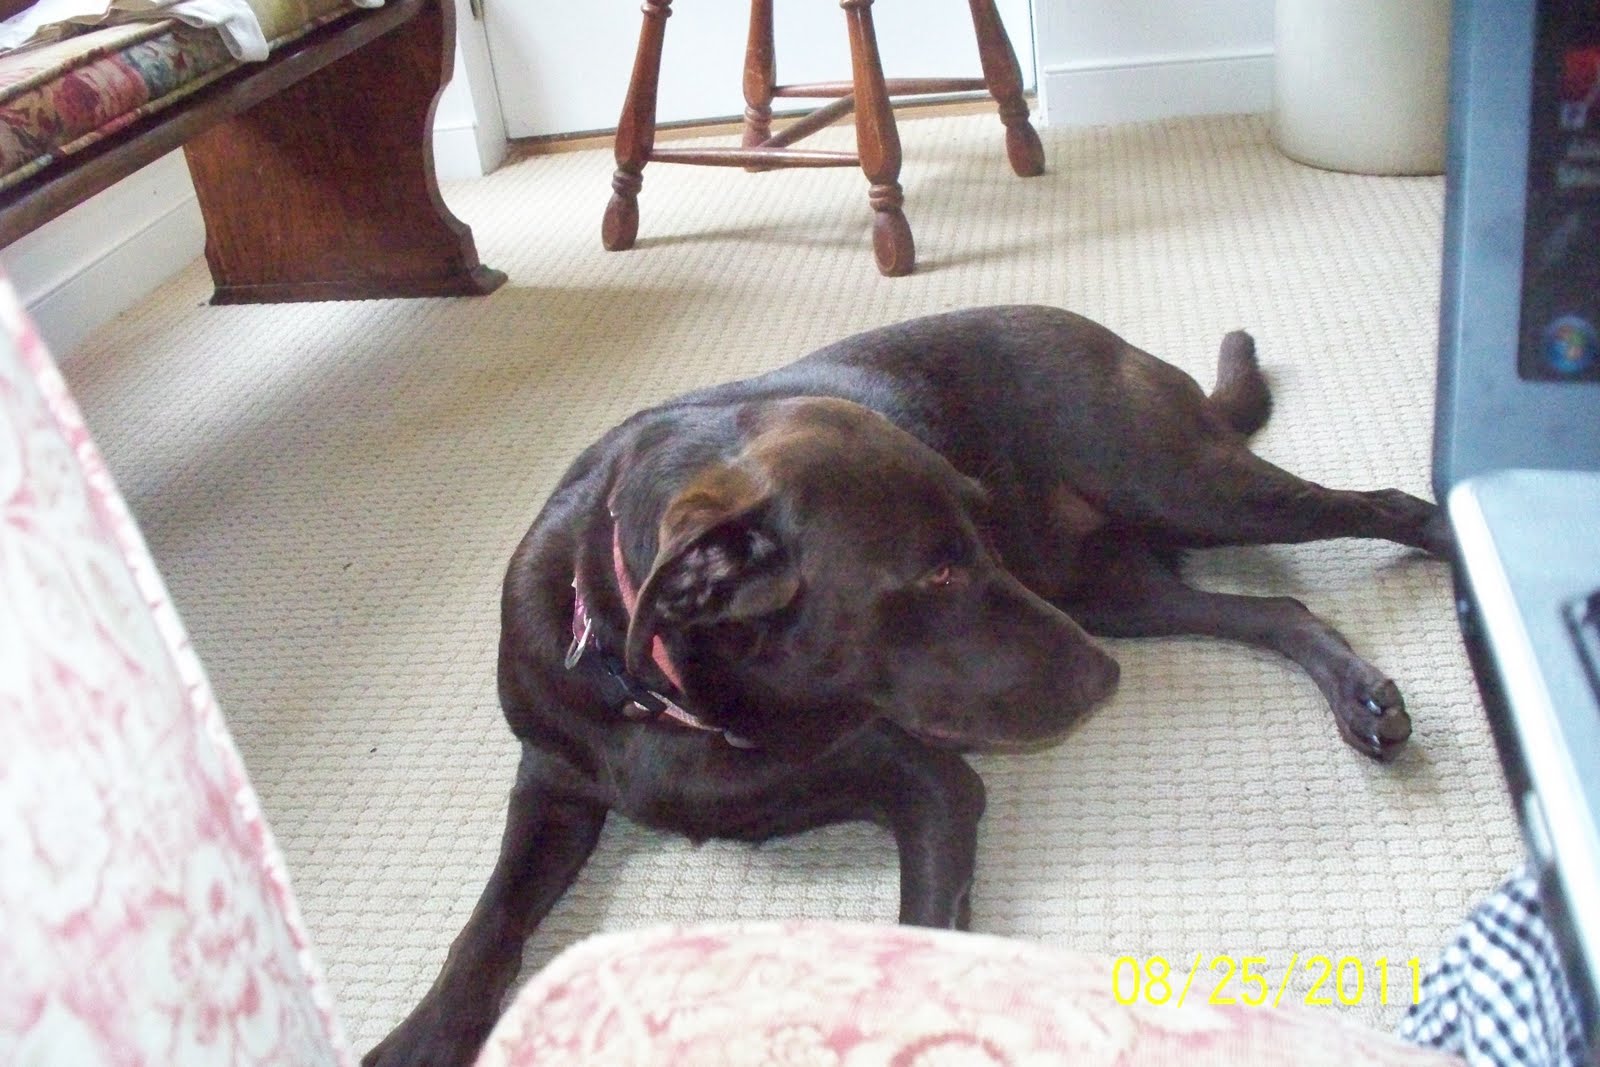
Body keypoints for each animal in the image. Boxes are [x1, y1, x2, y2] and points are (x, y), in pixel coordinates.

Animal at [364, 305, 1448, 1065]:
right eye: (934, 573)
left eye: (973, 529)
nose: (1105, 684)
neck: (673, 691)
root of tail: (1099, 329)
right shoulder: (552, 784)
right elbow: (487, 922)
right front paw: (421, 1032)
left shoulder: (928, 781)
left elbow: (922, 932)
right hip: (1105, 594)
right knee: (1278, 610)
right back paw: (1358, 695)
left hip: (1173, 491)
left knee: (1382, 504)